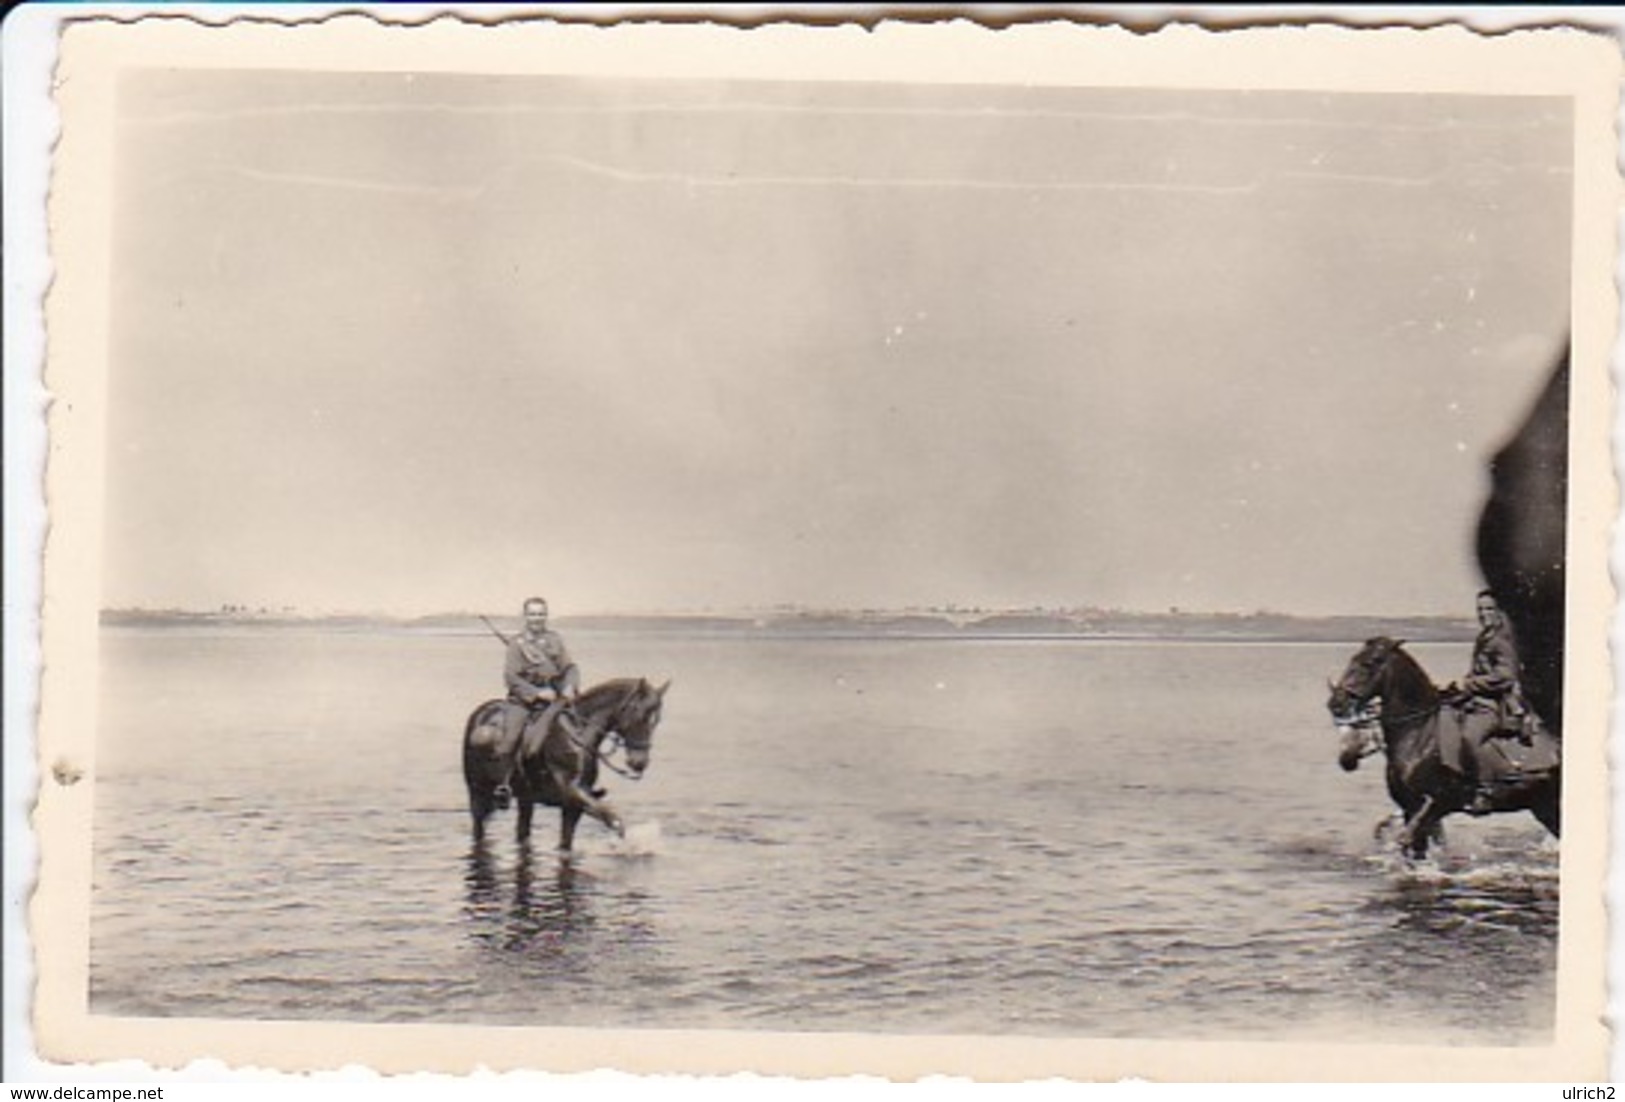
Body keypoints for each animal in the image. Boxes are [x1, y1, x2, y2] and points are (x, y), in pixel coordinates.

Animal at [461, 682, 669, 851]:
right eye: (640, 715)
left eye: (656, 719)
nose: (639, 763)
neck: (579, 734)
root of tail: (481, 713)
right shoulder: (574, 793)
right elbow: (614, 819)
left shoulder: (573, 805)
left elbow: (567, 841)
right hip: (477, 792)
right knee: (479, 827)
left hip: (525, 798)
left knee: (522, 830)